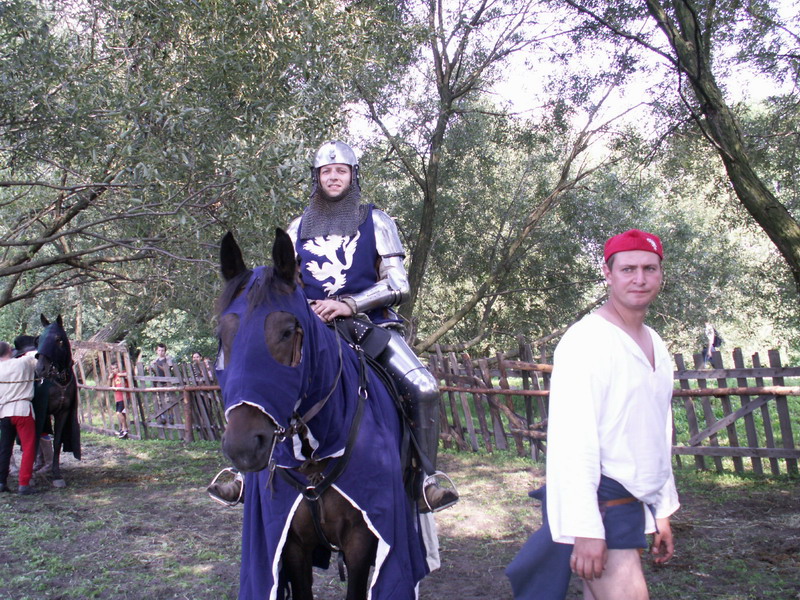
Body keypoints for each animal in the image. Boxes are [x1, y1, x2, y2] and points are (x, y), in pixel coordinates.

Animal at [35, 314, 81, 487]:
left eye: (58, 339)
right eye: (40, 339)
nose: (40, 369)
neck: (59, 381)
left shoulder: (63, 412)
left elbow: (57, 442)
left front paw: (56, 474)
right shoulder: (40, 411)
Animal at [215, 229, 429, 600]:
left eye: (288, 331)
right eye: (223, 336)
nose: (243, 446)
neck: (315, 450)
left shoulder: (364, 538)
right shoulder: (288, 543)